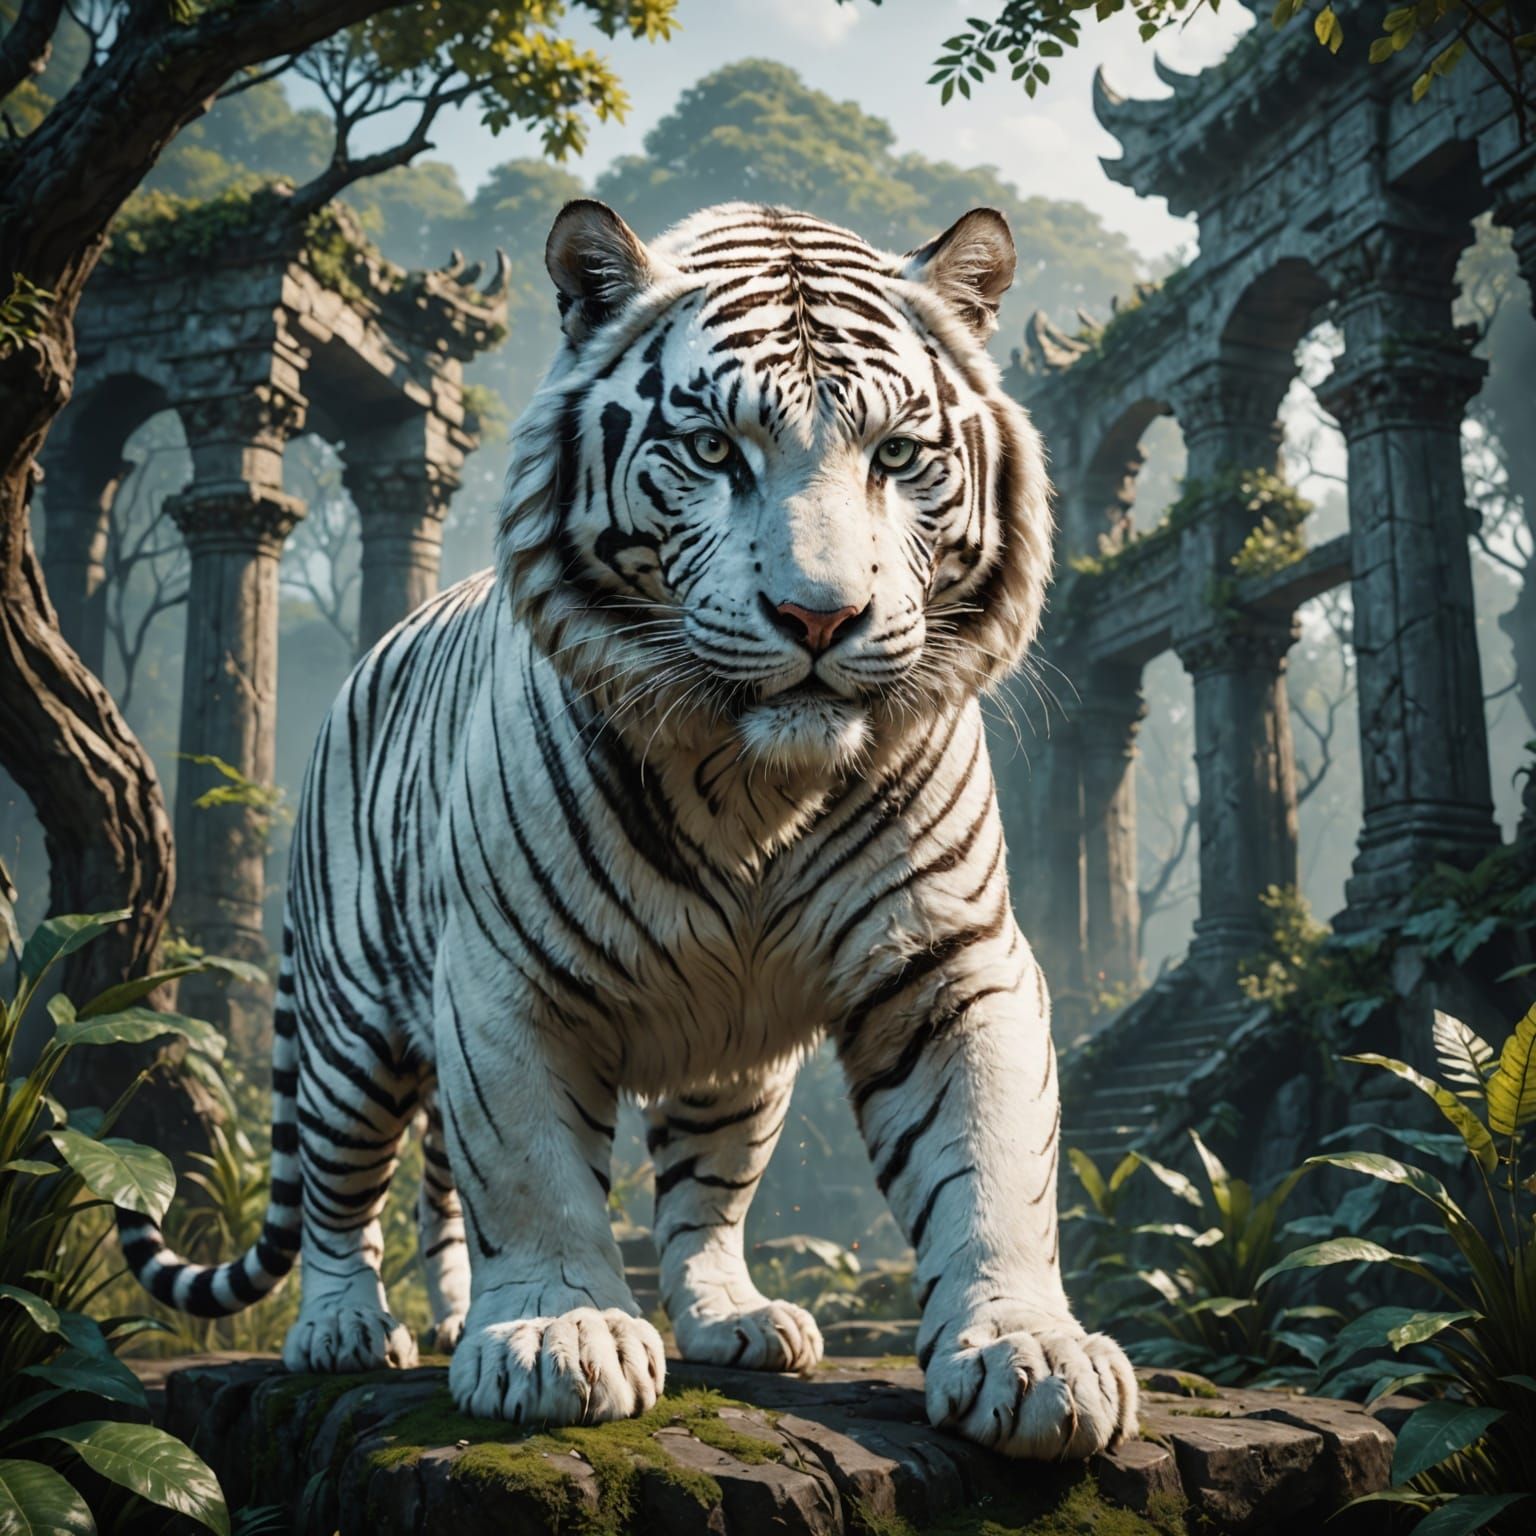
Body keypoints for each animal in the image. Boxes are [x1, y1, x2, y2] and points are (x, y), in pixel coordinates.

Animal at [117, 199, 1137, 1459]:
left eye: (898, 456)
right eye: (713, 452)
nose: (820, 616)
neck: (759, 785)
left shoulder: (953, 959)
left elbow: (992, 1170)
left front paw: (1029, 1354)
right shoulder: (507, 978)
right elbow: (531, 1173)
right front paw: (559, 1339)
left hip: (737, 1069)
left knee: (696, 1197)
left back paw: (719, 1316)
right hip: (351, 1027)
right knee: (337, 1185)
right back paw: (348, 1326)